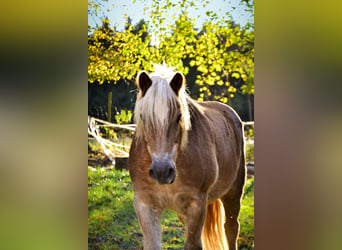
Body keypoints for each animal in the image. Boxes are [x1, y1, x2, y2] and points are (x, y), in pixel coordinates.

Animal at [129, 67, 246, 250]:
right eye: (143, 117)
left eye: (179, 117)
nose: (162, 171)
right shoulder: (145, 204)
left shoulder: (197, 205)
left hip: (233, 193)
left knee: (231, 228)